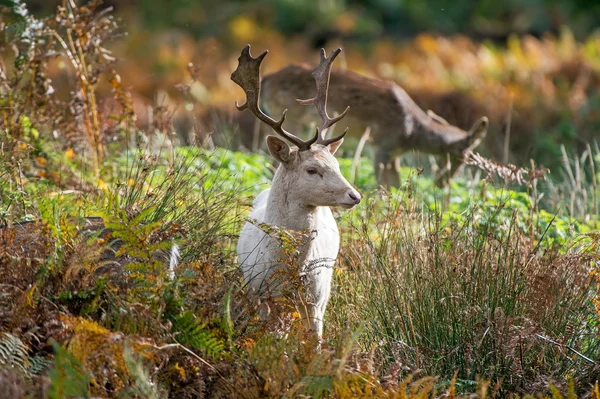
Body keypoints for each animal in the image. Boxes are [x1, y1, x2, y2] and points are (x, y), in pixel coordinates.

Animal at [232, 45, 358, 340]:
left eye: (337, 164)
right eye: (312, 169)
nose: (354, 196)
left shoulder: (317, 298)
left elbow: (315, 341)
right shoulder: (261, 292)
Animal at [262, 64, 488, 188]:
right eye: (464, 156)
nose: (442, 183)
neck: (410, 132)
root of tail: (267, 79)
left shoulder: (394, 153)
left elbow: (396, 185)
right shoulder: (382, 145)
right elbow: (383, 186)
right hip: (293, 121)